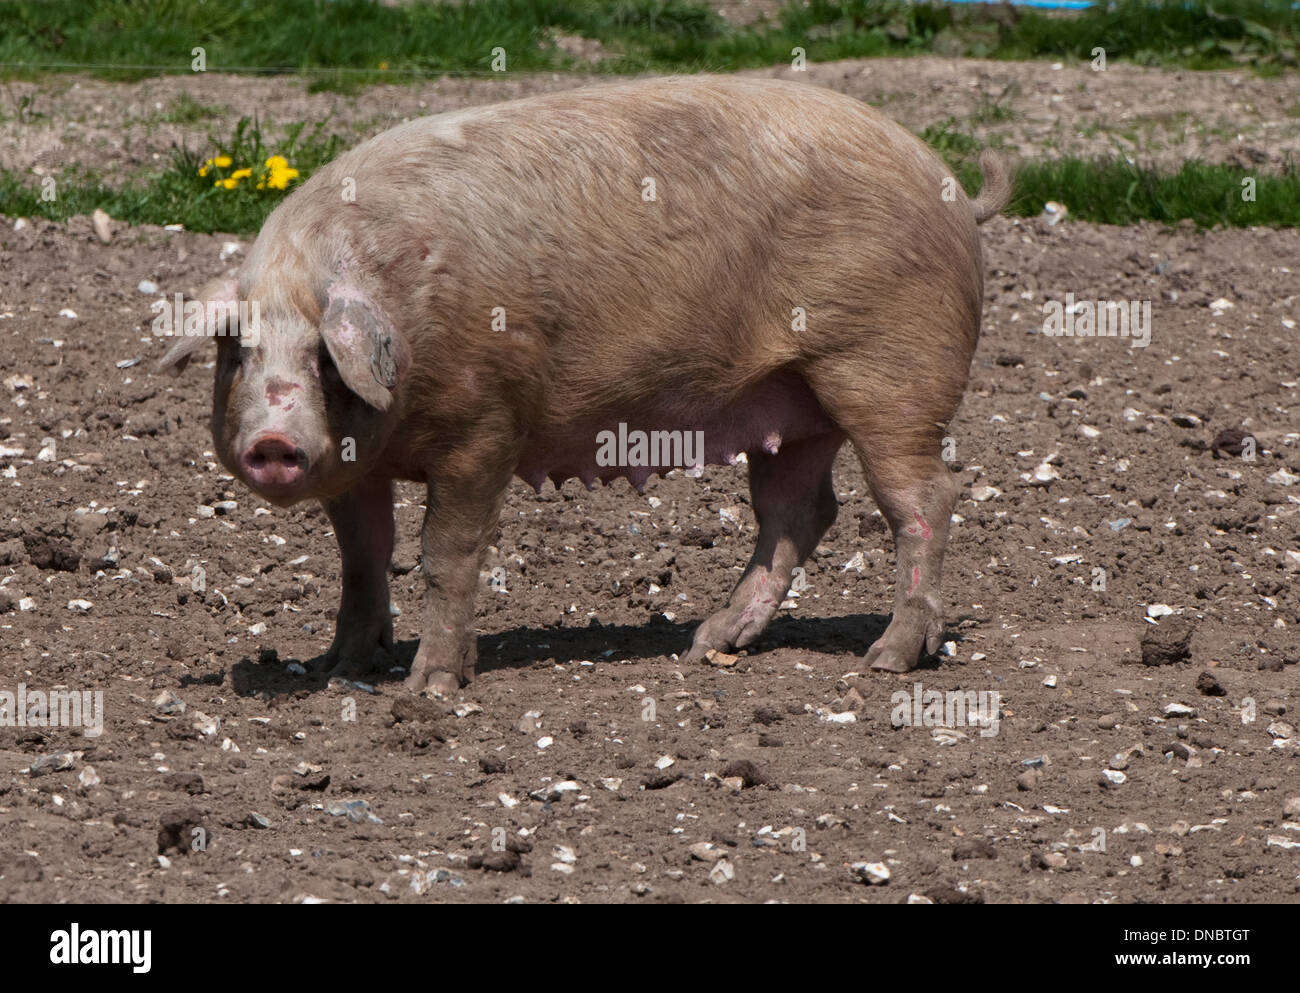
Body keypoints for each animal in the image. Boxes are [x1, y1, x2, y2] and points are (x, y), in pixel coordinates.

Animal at [157, 77, 1013, 696]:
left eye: (324, 359)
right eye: (236, 353)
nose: (274, 441)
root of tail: (950, 184)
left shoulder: (486, 426)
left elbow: (445, 553)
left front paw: (429, 686)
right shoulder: (353, 464)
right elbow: (362, 556)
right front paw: (341, 669)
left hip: (890, 374)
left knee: (923, 500)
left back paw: (886, 658)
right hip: (792, 403)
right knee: (800, 511)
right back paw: (707, 643)